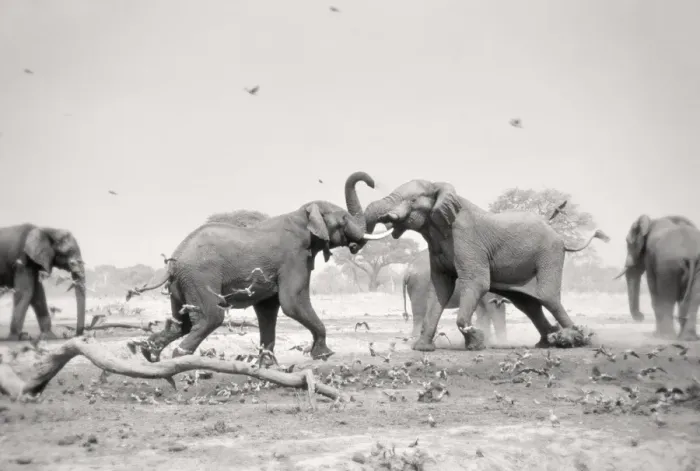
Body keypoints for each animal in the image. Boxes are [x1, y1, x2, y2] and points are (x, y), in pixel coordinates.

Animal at [130, 171, 392, 362]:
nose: (372, 183)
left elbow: (268, 310)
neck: (303, 213)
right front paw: (324, 355)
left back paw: (149, 354)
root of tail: (173, 261)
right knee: (209, 318)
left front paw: (267, 366)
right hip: (199, 278)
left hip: (183, 284)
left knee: (180, 324)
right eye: (344, 219)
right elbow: (292, 302)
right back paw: (179, 359)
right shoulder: (294, 257)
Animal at [362, 179, 609, 351]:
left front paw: (476, 343)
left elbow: (477, 283)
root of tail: (562, 239)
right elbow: (441, 287)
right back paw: (550, 339)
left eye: (412, 200)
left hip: (549, 255)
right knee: (528, 303)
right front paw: (423, 348)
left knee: (547, 297)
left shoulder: (467, 240)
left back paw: (577, 339)